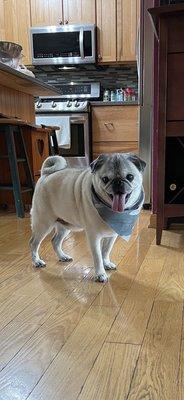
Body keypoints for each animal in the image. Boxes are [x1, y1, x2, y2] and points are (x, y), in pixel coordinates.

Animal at [29, 152, 145, 282]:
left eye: (130, 177)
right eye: (105, 179)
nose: (118, 182)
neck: (111, 210)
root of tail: (45, 175)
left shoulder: (111, 236)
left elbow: (106, 251)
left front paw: (106, 263)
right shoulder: (94, 237)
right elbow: (98, 256)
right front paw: (100, 274)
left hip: (65, 225)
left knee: (55, 241)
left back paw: (63, 256)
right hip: (43, 223)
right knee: (33, 243)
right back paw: (37, 261)